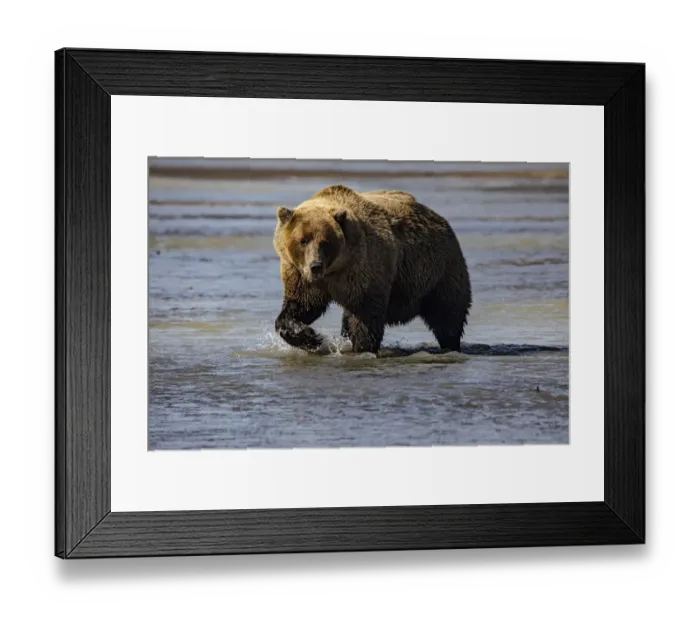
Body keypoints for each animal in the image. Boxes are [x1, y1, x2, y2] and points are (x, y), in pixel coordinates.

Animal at [273, 185, 472, 354]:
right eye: (303, 240)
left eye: (325, 242)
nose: (315, 265)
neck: (335, 268)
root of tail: (440, 219)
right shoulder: (300, 273)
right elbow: (302, 305)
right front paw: (311, 338)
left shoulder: (363, 267)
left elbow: (365, 314)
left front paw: (362, 348)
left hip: (438, 270)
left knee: (447, 315)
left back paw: (450, 345)